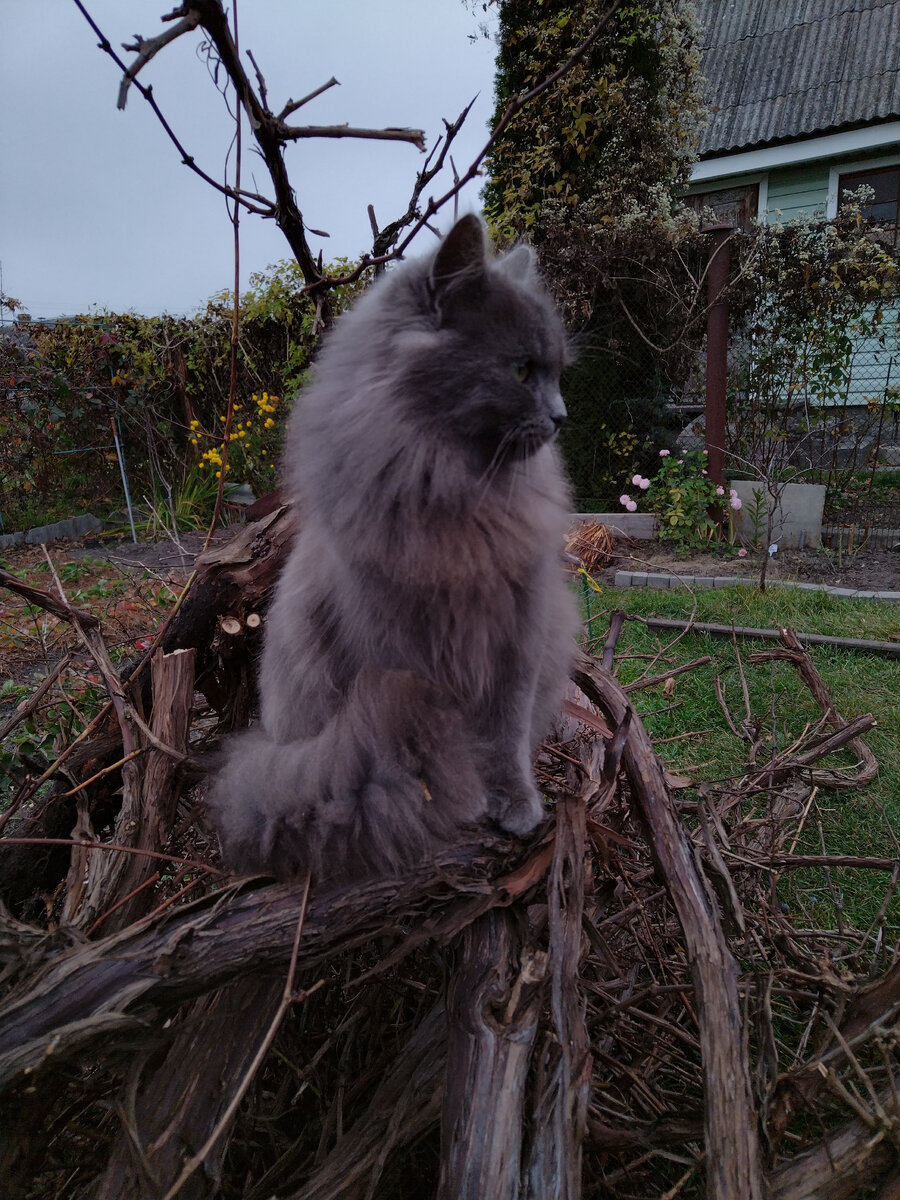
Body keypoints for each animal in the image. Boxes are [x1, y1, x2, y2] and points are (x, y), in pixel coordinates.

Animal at [208, 216, 578, 883]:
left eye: (559, 372)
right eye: (521, 372)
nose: (562, 416)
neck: (454, 491)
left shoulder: (519, 631)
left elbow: (506, 734)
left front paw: (515, 802)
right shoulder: (406, 649)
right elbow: (452, 740)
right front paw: (467, 798)